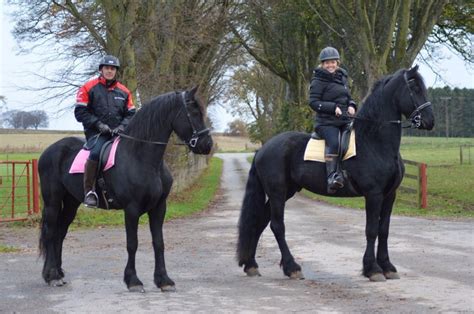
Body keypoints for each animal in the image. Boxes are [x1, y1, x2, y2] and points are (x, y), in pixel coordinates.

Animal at [39, 86, 213, 292]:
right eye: (194, 113)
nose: (207, 145)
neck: (141, 157)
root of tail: (49, 151)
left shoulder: (159, 208)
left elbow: (159, 243)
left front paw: (163, 280)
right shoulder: (131, 209)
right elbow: (132, 244)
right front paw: (133, 281)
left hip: (71, 202)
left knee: (60, 233)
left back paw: (58, 273)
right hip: (53, 201)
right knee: (51, 233)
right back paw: (51, 276)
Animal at [239, 66, 436, 282]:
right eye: (414, 88)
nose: (430, 121)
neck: (374, 141)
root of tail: (263, 149)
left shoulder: (389, 195)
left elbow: (384, 230)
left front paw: (388, 267)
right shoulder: (373, 194)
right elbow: (371, 230)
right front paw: (373, 269)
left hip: (286, 191)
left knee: (260, 221)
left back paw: (251, 265)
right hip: (277, 192)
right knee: (276, 225)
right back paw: (292, 268)